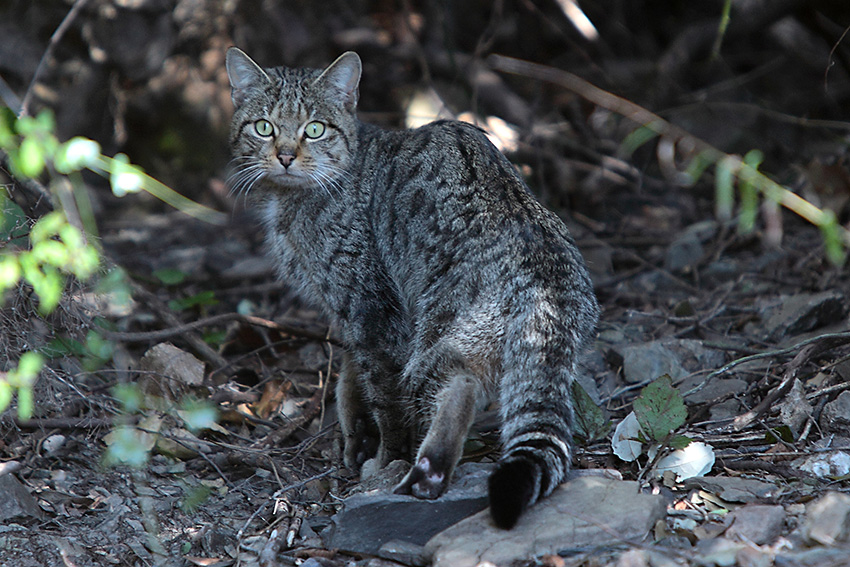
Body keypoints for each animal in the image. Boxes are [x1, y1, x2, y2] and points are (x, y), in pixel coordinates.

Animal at [224, 46, 596, 532]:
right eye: (264, 126)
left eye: (315, 129)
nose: (285, 155)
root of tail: (547, 271)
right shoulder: (349, 313)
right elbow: (351, 372)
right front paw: (355, 429)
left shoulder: (370, 306)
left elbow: (385, 397)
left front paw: (384, 458)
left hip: (435, 335)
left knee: (455, 388)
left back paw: (427, 470)